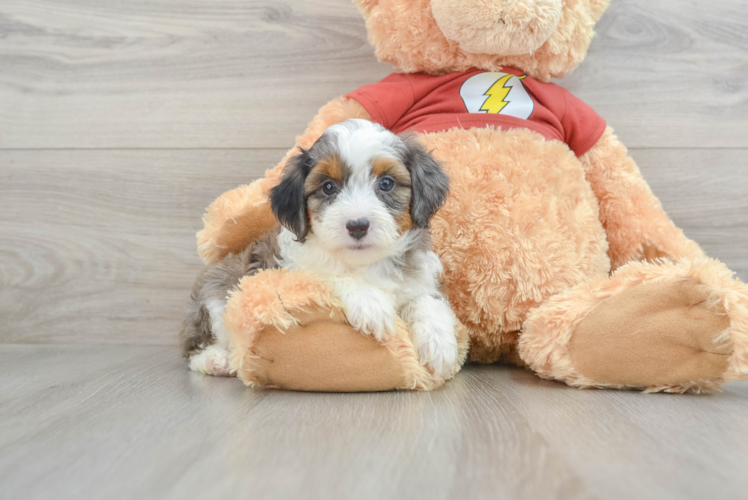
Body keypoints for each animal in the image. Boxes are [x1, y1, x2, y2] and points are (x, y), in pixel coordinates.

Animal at [184, 121, 458, 376]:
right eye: (328, 187)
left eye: (387, 183)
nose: (357, 225)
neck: (365, 263)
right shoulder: (293, 272)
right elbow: (330, 276)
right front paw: (371, 303)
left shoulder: (421, 278)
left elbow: (426, 300)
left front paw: (439, 341)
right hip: (217, 292)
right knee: (196, 345)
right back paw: (214, 360)